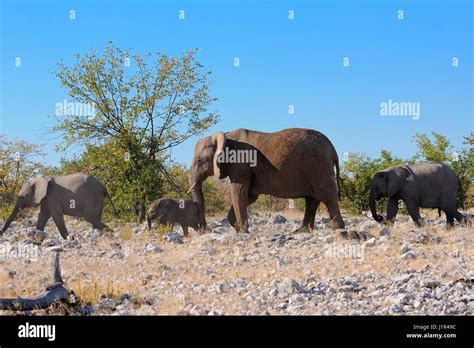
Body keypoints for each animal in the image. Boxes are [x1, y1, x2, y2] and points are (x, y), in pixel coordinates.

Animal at [187, 128, 346, 234]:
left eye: (199, 161)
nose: (205, 230)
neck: (226, 136)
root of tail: (333, 150)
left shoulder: (240, 164)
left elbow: (239, 192)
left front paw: (243, 232)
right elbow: (249, 196)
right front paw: (238, 228)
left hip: (319, 168)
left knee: (327, 197)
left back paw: (338, 230)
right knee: (312, 200)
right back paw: (301, 231)